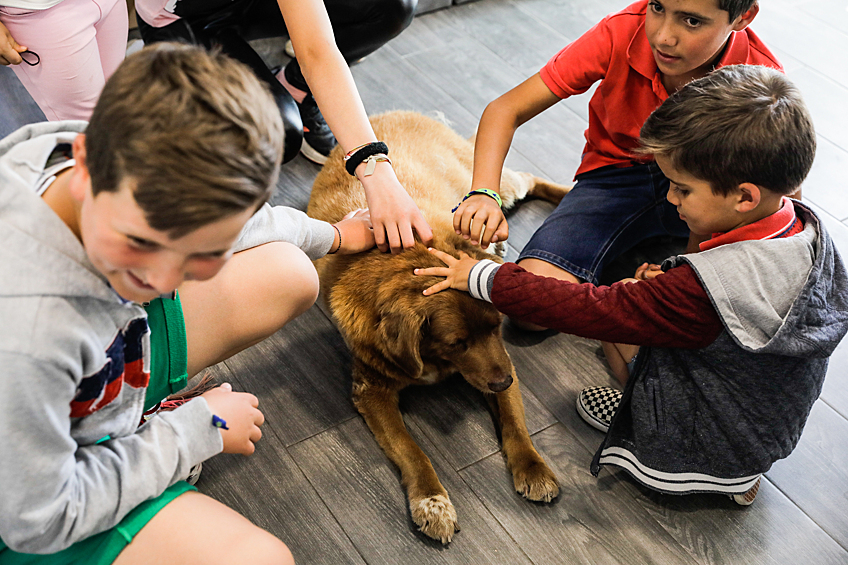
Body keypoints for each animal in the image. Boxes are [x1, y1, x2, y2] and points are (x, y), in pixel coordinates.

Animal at [306, 111, 568, 540]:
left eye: (497, 326)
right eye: (457, 343)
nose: (504, 383)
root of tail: (391, 113)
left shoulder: (501, 362)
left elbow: (515, 423)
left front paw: (533, 468)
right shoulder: (372, 391)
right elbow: (412, 451)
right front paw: (432, 501)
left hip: (485, 189)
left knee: (524, 181)